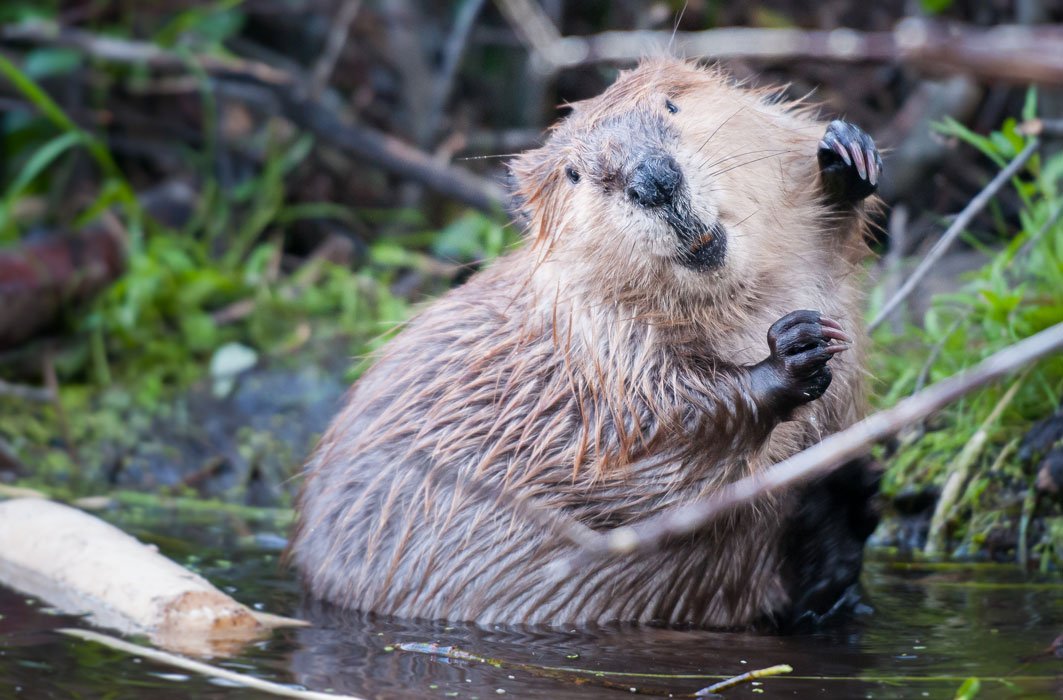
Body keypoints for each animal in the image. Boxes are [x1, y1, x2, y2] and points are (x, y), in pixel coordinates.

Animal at [291, 60, 880, 628]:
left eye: (671, 104)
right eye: (573, 173)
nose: (653, 180)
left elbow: (830, 241)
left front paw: (846, 156)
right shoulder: (595, 352)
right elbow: (649, 454)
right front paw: (792, 351)